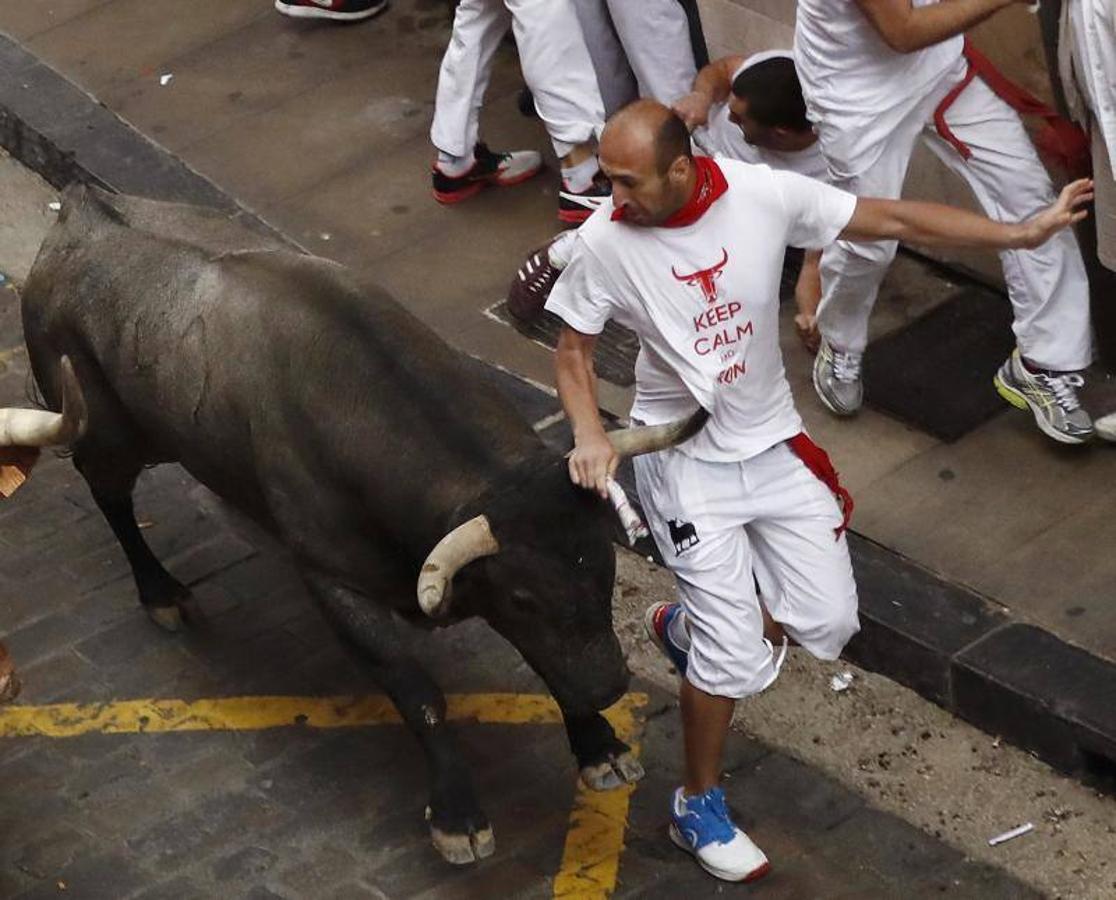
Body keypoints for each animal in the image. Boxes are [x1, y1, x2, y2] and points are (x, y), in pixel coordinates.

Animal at [2, 188, 705, 866]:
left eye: (606, 571)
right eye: (524, 595)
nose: (609, 685)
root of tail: (78, 215)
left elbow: (547, 657)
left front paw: (598, 747)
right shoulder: (334, 581)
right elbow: (418, 692)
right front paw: (457, 815)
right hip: (106, 432)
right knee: (111, 499)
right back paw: (161, 592)